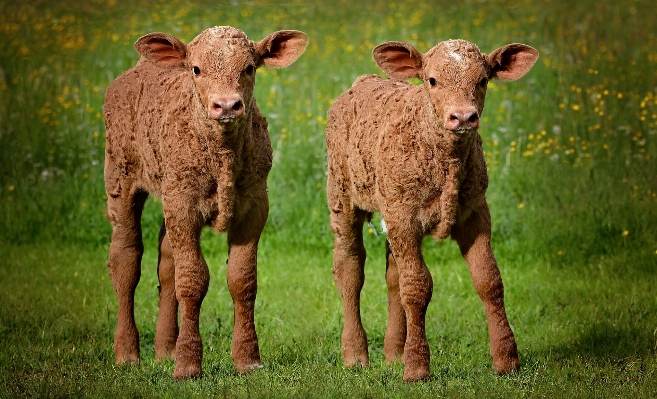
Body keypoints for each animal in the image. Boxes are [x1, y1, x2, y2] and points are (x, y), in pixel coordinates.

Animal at [324, 39, 540, 382]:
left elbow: (489, 280)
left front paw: (506, 360)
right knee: (350, 269)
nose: (463, 117)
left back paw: (394, 353)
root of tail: (363, 81)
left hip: (390, 210)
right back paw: (356, 355)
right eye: (432, 80)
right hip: (343, 198)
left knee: (393, 276)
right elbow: (418, 286)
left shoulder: (475, 213)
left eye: (483, 80)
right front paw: (416, 367)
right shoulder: (404, 218)